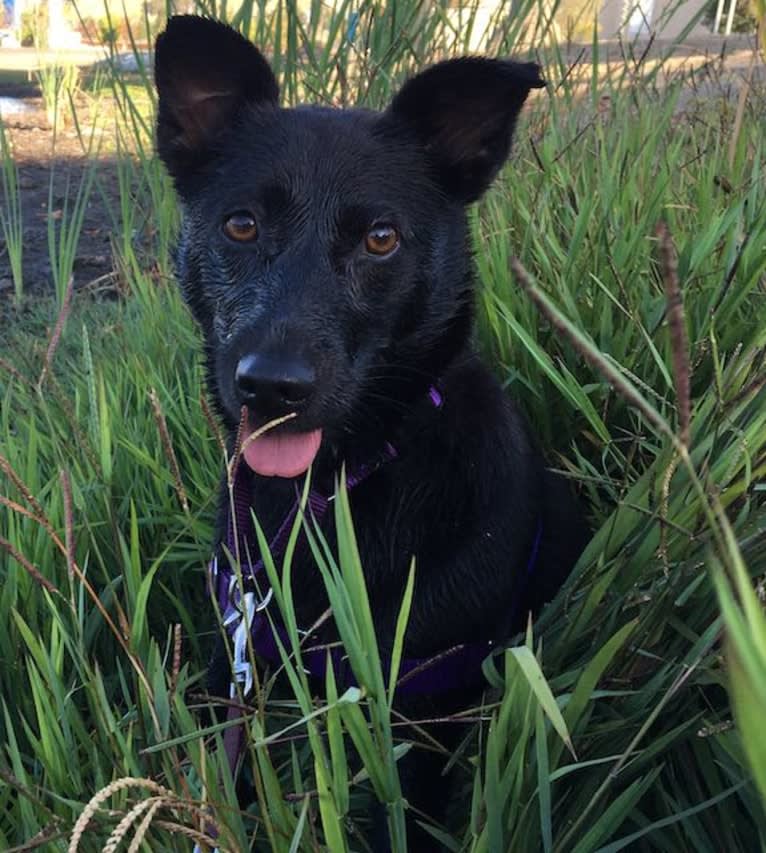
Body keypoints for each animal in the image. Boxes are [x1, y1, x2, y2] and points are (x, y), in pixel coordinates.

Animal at [156, 16, 588, 848]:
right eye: (241, 223)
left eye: (381, 239)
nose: (273, 386)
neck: (322, 497)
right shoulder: (239, 662)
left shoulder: (426, 707)